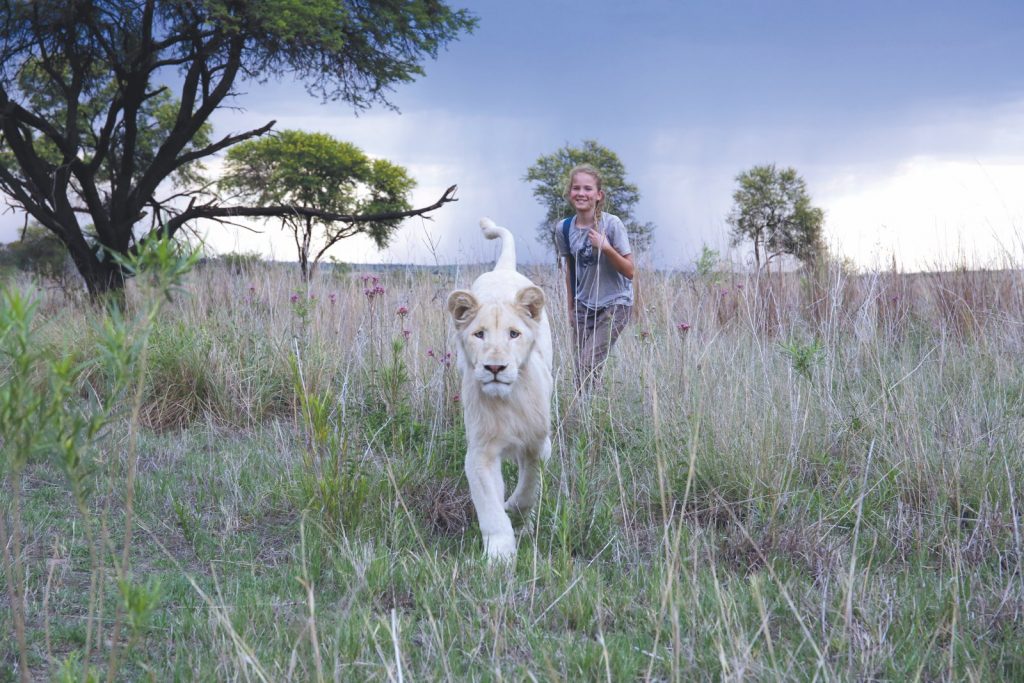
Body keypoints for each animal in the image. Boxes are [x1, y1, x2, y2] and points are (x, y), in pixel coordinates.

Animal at [448, 218, 552, 561]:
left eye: (513, 334)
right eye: (479, 334)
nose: (495, 368)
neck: (507, 401)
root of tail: (502, 269)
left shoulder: (538, 444)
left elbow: (529, 486)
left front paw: (517, 512)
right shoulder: (480, 453)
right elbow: (490, 507)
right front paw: (499, 556)